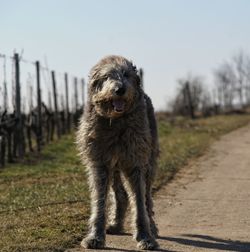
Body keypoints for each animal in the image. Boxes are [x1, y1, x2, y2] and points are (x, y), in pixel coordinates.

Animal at [76, 55, 158, 250]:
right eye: (107, 76)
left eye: (126, 74)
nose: (120, 89)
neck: (115, 120)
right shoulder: (99, 162)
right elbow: (99, 200)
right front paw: (96, 236)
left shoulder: (135, 161)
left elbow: (140, 201)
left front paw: (145, 237)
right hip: (114, 165)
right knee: (121, 195)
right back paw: (116, 224)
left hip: (149, 159)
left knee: (147, 197)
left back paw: (152, 226)